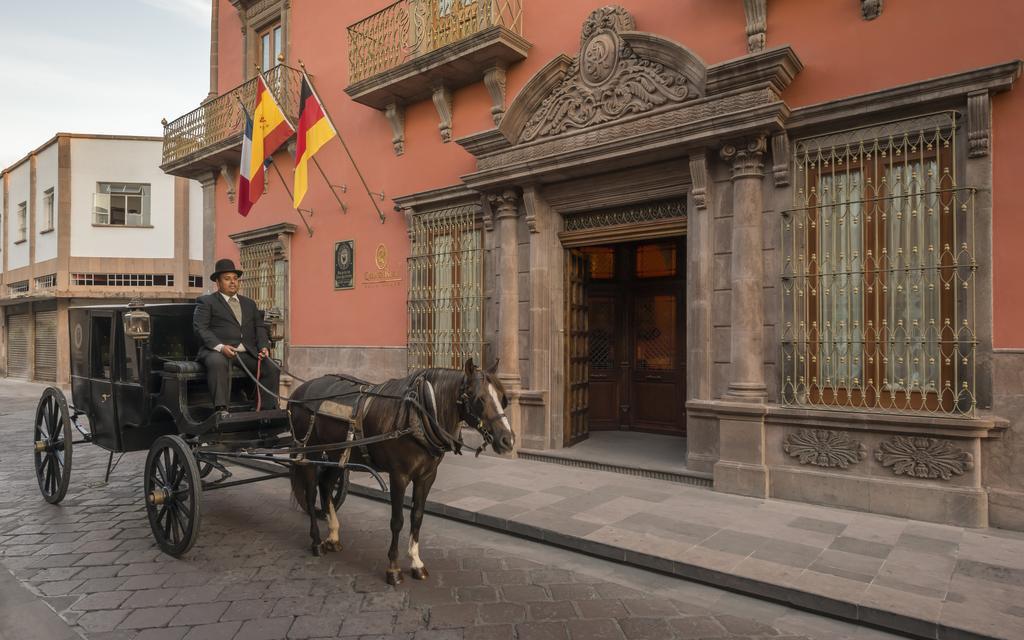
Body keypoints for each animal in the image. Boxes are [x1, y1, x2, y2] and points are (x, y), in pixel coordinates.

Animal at [286, 360, 512, 585]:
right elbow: (397, 521)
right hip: (309, 451)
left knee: (325, 484)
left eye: (503, 398)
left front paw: (416, 563)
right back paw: (316, 541)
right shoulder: (398, 476)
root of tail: (298, 391)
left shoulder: (427, 476)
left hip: (337, 454)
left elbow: (417, 516)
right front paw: (393, 568)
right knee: (310, 492)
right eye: (478, 398)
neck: (419, 414)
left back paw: (333, 536)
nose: (507, 440)